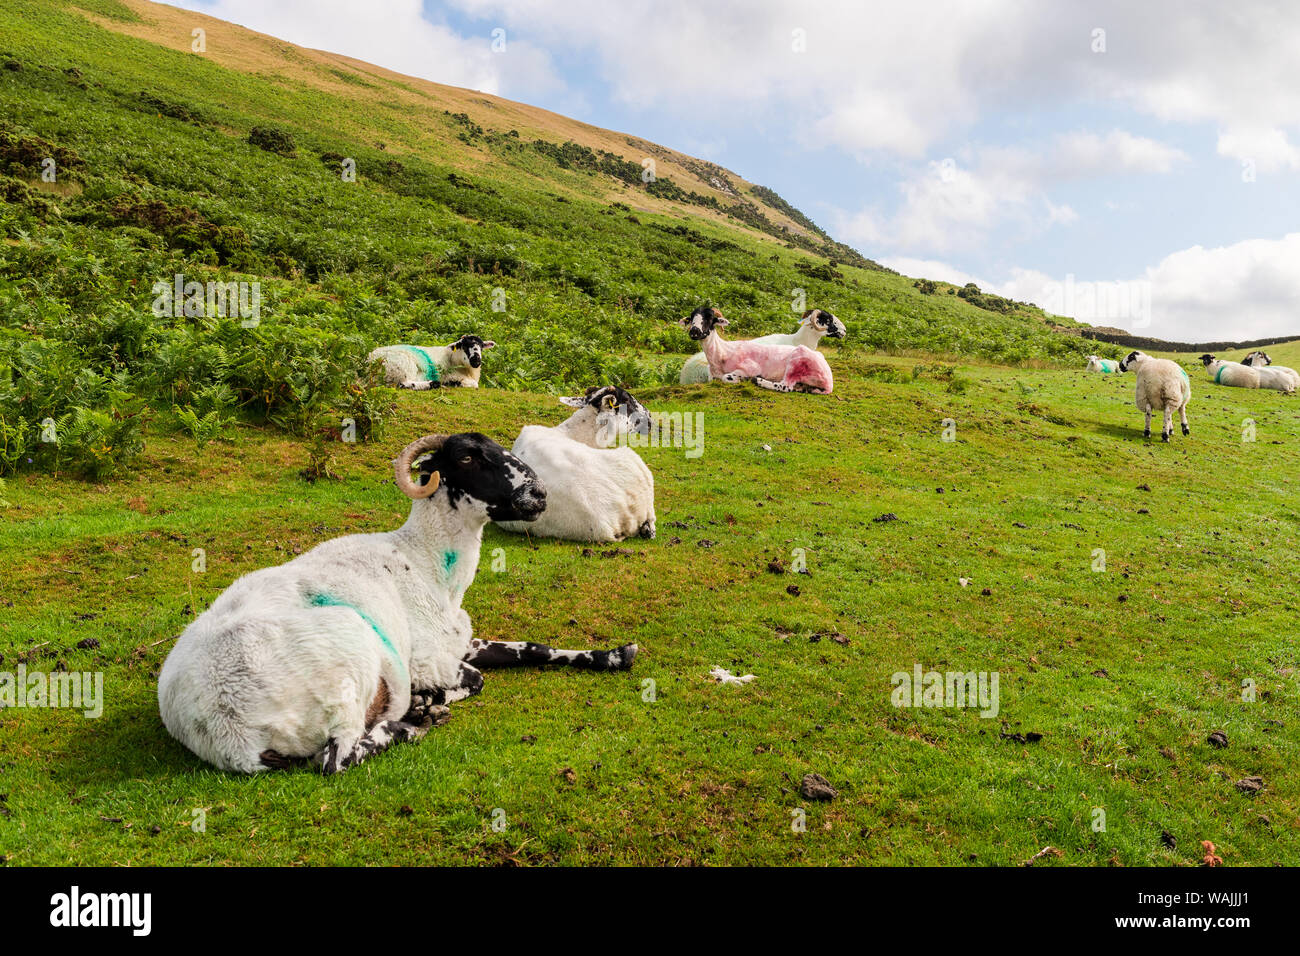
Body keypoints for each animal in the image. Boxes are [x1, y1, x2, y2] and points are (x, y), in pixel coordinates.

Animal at [158, 432, 637, 774]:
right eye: (467, 458)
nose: (539, 495)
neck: (425, 563)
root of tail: (226, 731)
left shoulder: (459, 641)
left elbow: (533, 648)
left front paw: (615, 654)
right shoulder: (428, 659)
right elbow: (476, 679)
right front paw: (432, 700)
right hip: (349, 663)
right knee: (335, 759)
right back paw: (416, 721)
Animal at [681, 304, 834, 394]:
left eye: (710, 318)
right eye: (692, 318)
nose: (694, 331)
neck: (722, 352)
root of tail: (829, 382)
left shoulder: (749, 367)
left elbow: (726, 377)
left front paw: (744, 379)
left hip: (796, 362)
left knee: (786, 386)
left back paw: (758, 381)